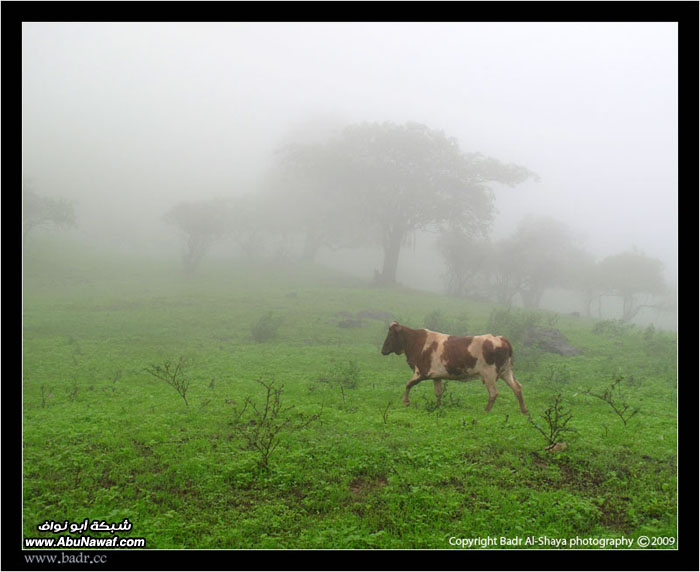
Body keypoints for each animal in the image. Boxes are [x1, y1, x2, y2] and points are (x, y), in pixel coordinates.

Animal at [382, 320, 524, 414]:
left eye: (391, 334)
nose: (383, 350)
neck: (416, 342)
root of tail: (501, 338)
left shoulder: (421, 372)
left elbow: (408, 385)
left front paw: (406, 402)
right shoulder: (436, 376)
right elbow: (438, 392)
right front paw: (438, 407)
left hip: (489, 374)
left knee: (494, 393)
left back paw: (486, 411)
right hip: (506, 371)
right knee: (517, 387)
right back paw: (524, 411)